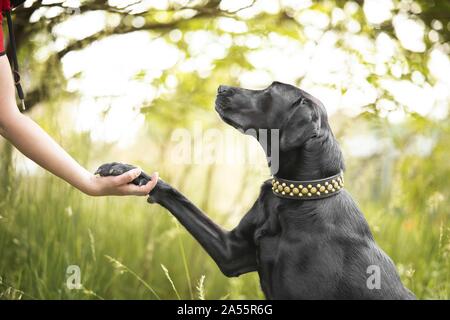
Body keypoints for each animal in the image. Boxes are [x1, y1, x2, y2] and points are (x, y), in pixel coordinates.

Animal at [96, 81, 416, 298]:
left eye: (270, 92)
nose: (221, 87)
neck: (293, 197)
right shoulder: (232, 251)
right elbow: (176, 195)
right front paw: (122, 170)